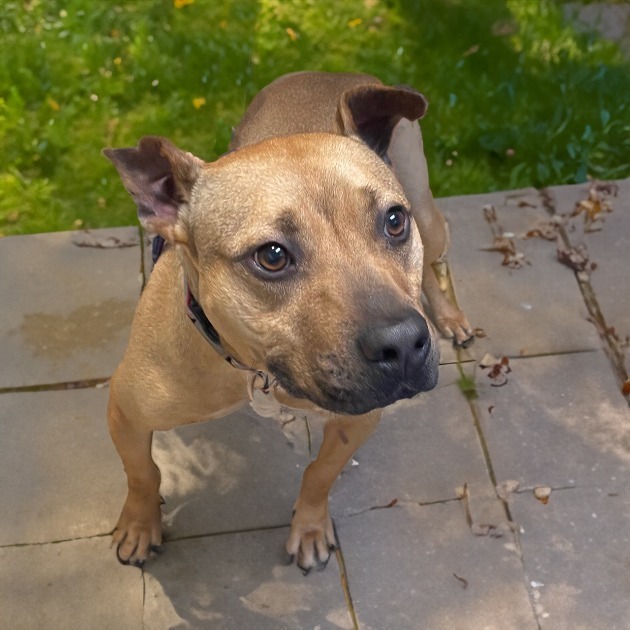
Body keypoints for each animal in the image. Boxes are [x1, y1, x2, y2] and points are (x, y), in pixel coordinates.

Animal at [103, 71, 472, 576]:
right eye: (272, 256)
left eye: (394, 221)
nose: (403, 343)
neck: (251, 369)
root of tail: (338, 74)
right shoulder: (127, 410)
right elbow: (142, 472)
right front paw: (140, 526)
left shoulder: (359, 419)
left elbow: (319, 474)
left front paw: (310, 528)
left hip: (430, 219)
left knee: (434, 263)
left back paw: (449, 316)